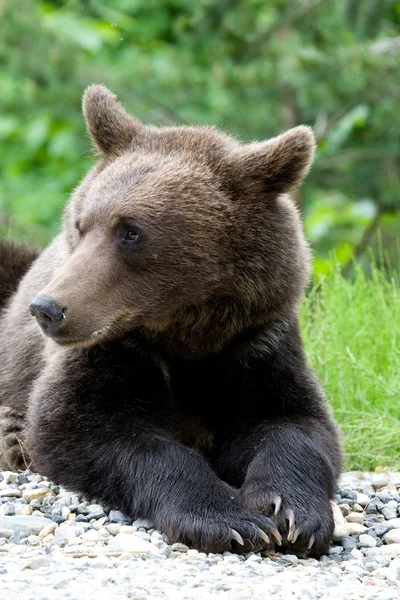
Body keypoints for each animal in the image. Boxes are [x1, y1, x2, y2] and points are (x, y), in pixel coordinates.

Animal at [0, 85, 340, 556]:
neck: (185, 331)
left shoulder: (255, 342)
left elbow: (294, 421)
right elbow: (87, 427)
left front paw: (293, 514)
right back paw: (12, 436)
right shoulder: (113, 349)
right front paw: (228, 520)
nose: (47, 308)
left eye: (131, 231)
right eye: (81, 224)